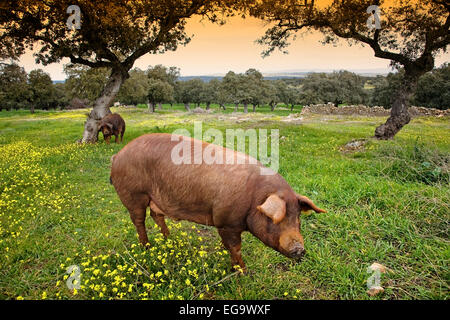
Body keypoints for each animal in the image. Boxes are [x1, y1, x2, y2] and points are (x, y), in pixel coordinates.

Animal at [110, 132, 326, 270]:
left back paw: (169, 239)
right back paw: (146, 247)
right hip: (133, 194)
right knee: (139, 220)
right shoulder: (226, 222)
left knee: (156, 215)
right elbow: (235, 248)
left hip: (156, 197)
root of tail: (118, 155)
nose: (299, 249)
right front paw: (242, 272)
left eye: (298, 217)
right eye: (274, 219)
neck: (254, 198)